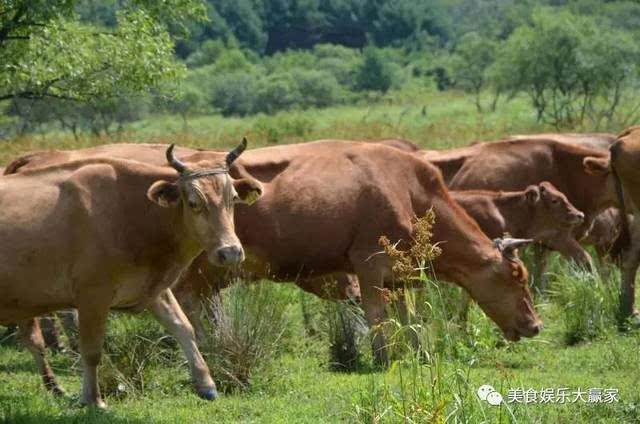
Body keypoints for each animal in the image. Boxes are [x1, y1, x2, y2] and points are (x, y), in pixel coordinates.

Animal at [0, 142, 262, 408]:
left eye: (233, 198)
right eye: (193, 202)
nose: (230, 252)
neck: (129, 212)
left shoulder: (153, 287)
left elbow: (183, 328)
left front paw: (206, 384)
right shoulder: (92, 296)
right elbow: (92, 351)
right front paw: (93, 400)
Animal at [7, 140, 544, 364]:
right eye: (518, 279)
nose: (536, 325)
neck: (411, 188)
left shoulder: (398, 273)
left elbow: (408, 318)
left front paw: (417, 351)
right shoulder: (369, 265)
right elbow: (378, 320)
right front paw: (383, 359)